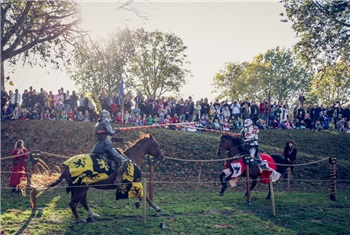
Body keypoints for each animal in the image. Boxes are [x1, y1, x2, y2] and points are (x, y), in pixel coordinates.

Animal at [30, 132, 164, 222]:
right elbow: (145, 195)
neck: (132, 157)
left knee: (82, 201)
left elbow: (142, 195)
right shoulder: (135, 182)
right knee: (73, 203)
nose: (162, 156)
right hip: (81, 188)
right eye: (156, 145)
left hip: (80, 188)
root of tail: (66, 168)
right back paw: (79, 220)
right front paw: (156, 208)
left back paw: (93, 215)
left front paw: (140, 203)